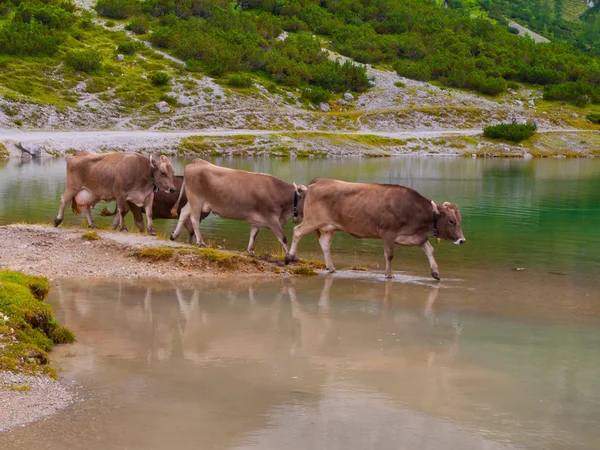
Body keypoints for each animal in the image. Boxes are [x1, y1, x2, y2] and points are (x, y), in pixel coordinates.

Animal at [170, 158, 308, 253]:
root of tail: (198, 161)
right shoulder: (271, 218)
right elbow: (283, 237)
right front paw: (290, 254)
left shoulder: (257, 218)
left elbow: (253, 234)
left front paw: (250, 250)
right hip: (196, 199)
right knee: (194, 218)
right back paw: (200, 242)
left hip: (194, 201)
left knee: (184, 212)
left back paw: (174, 234)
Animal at [284, 178, 466, 280]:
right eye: (451, 220)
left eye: (459, 220)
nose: (462, 240)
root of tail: (319, 181)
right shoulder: (388, 233)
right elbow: (389, 254)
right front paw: (389, 274)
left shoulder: (416, 235)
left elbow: (430, 250)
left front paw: (435, 272)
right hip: (313, 220)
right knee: (297, 231)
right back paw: (290, 256)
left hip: (330, 227)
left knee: (324, 243)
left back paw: (331, 267)